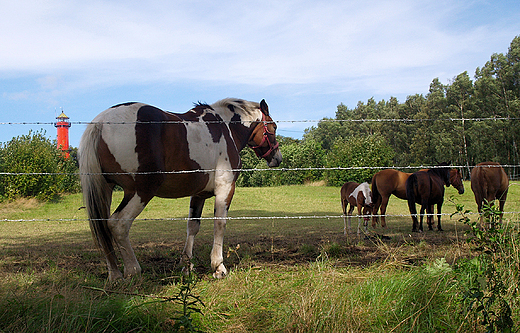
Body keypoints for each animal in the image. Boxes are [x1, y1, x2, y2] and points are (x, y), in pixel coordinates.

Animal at [77, 98, 282, 280]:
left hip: (106, 190)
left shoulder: (198, 195)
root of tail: (101, 122)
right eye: (273, 127)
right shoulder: (225, 188)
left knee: (102, 226)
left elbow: (192, 226)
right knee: (118, 224)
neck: (225, 128)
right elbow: (219, 224)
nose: (277, 158)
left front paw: (186, 264)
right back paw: (132, 270)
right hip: (140, 192)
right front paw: (218, 267)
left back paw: (115, 275)